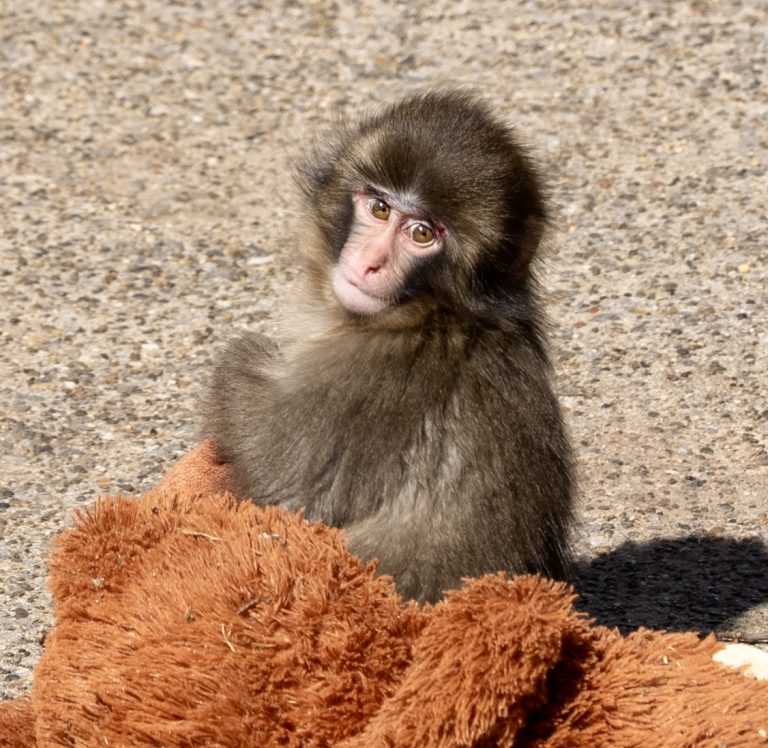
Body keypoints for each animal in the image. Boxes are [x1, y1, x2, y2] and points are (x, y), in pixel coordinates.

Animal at [204, 90, 574, 604]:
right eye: (379, 208)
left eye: (422, 233)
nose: (370, 263)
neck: (436, 313)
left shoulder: (365, 378)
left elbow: (281, 489)